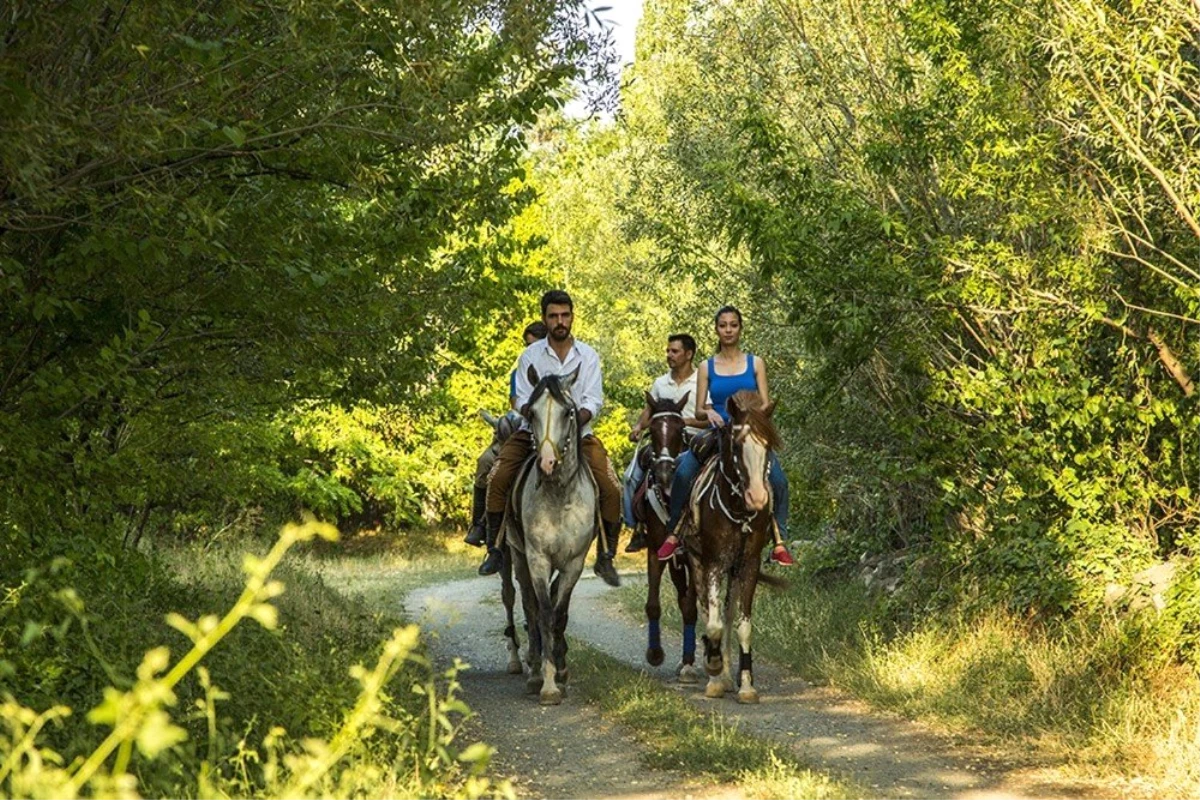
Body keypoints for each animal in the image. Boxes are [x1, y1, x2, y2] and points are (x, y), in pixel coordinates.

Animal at [504, 367, 597, 705]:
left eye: (568, 412)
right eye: (530, 412)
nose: (546, 463)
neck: (558, 496)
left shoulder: (574, 563)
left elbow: (560, 614)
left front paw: (562, 671)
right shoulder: (538, 559)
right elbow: (543, 613)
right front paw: (547, 684)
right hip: (517, 556)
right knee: (528, 605)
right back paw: (532, 671)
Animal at [681, 391, 782, 705]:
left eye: (768, 445)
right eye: (737, 445)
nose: (758, 498)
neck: (738, 511)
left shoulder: (748, 565)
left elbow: (742, 626)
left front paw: (746, 685)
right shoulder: (712, 562)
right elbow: (712, 624)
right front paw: (714, 672)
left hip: (734, 570)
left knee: (726, 614)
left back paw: (727, 674)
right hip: (696, 561)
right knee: (706, 612)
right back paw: (716, 672)